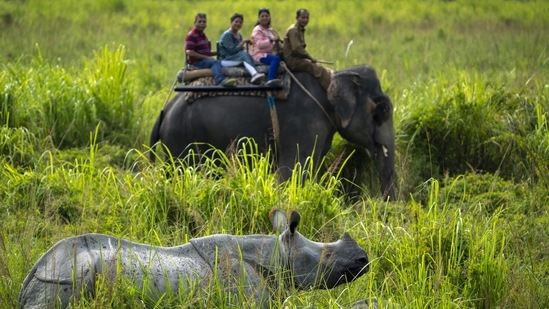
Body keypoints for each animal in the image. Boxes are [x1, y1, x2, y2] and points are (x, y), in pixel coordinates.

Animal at [152, 65, 396, 200]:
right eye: (383, 110)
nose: (383, 204)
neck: (334, 76)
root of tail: (164, 111)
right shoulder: (303, 124)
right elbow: (291, 172)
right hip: (183, 140)